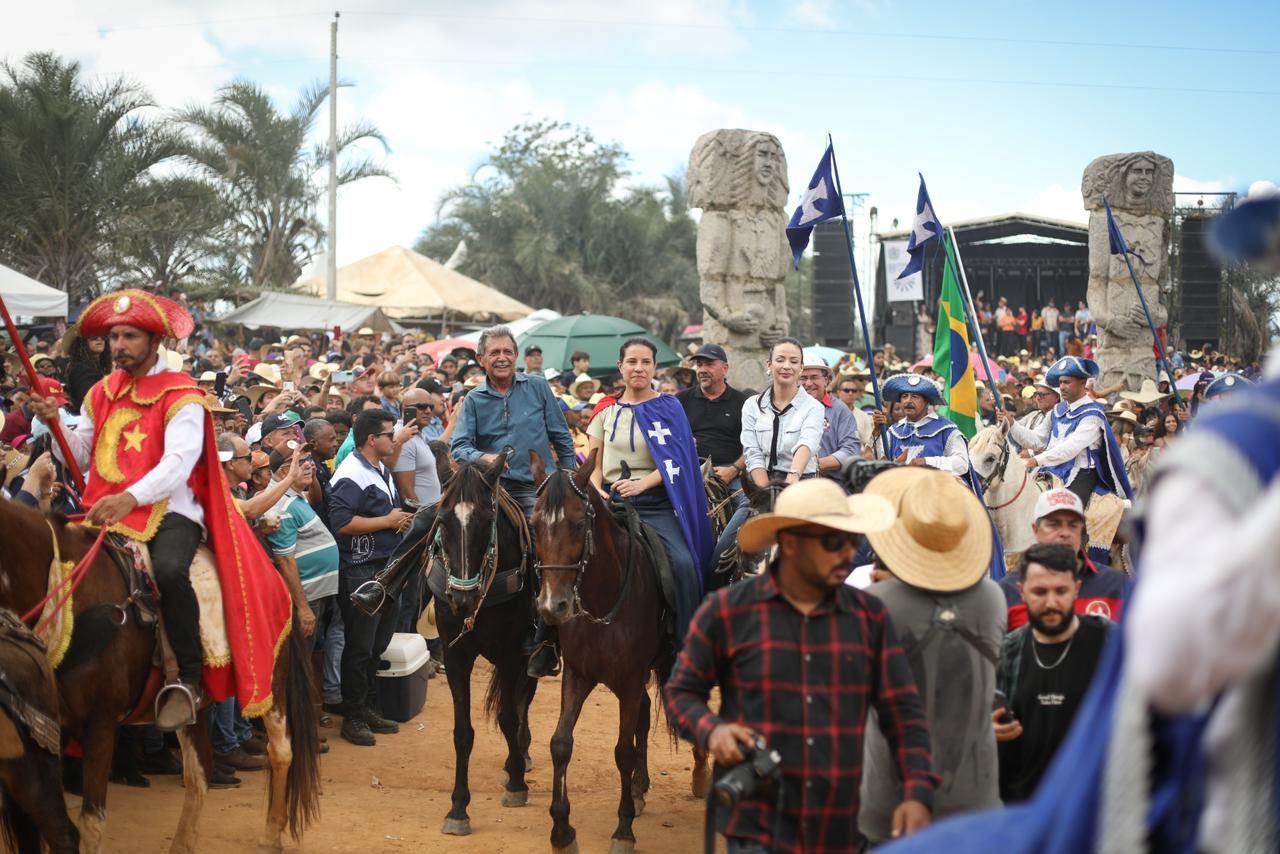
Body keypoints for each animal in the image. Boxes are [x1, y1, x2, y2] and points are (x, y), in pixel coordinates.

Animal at [0, 496, 318, 850]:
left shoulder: (100, 725)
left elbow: (91, 823)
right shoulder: (37, 740)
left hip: (271, 680)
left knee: (280, 752)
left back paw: (272, 833)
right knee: (200, 773)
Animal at [529, 448, 711, 854]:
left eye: (578, 524)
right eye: (534, 525)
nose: (552, 607)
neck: (602, 599)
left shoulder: (627, 681)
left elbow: (623, 751)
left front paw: (623, 830)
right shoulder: (578, 675)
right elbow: (560, 744)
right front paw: (562, 831)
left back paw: (701, 774)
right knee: (643, 715)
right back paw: (641, 788)